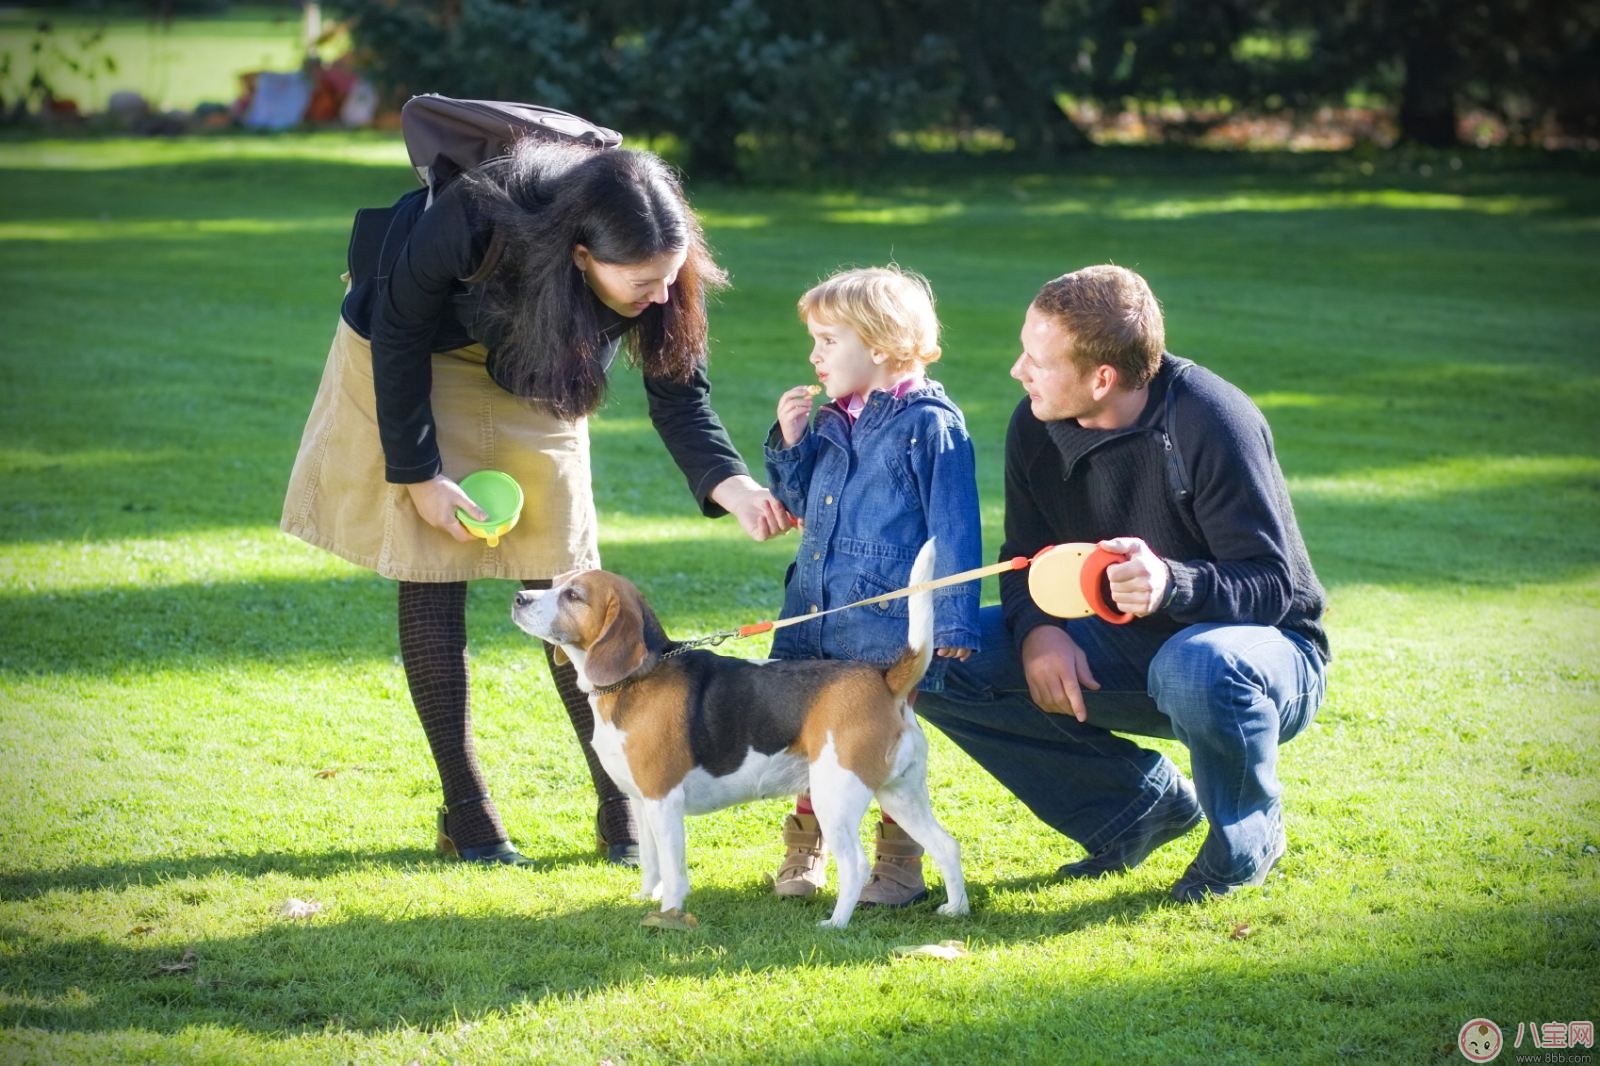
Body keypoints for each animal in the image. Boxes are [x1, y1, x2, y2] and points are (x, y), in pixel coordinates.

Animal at [512, 541, 960, 921]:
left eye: (574, 596)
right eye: (554, 583)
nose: (519, 599)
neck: (638, 677)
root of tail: (884, 680)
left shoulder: (663, 800)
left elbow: (673, 868)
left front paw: (669, 912)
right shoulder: (640, 801)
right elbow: (652, 862)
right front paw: (644, 897)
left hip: (836, 795)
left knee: (856, 864)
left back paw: (836, 923)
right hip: (900, 794)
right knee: (946, 845)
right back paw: (956, 910)